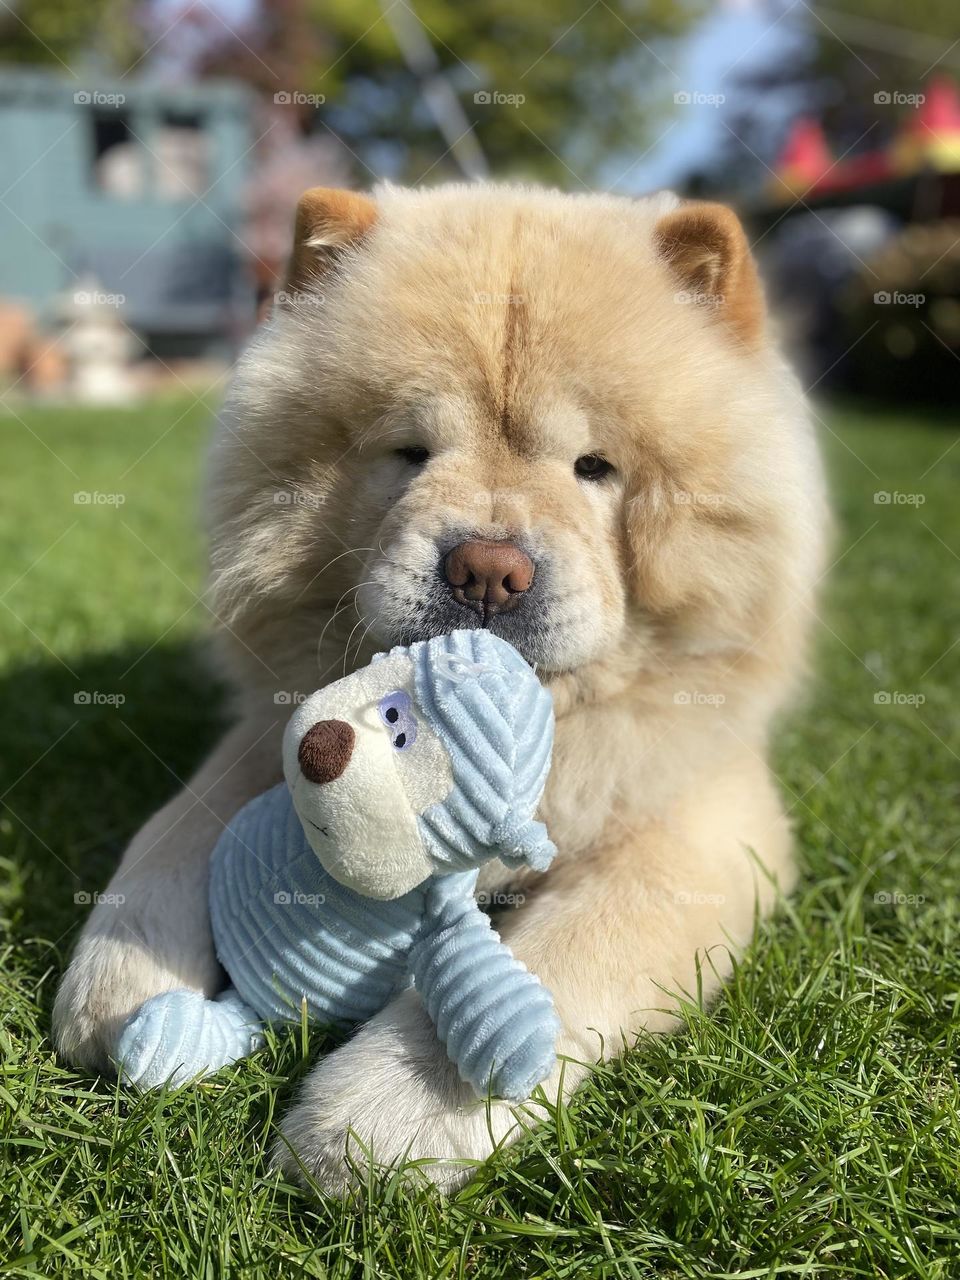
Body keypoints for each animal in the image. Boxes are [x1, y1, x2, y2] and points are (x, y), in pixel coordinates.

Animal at [56, 185, 829, 1192]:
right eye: (410, 452)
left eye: (594, 468)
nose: (489, 571)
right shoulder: (270, 731)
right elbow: (174, 829)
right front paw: (118, 975)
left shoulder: (699, 825)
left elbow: (563, 955)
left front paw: (372, 1125)